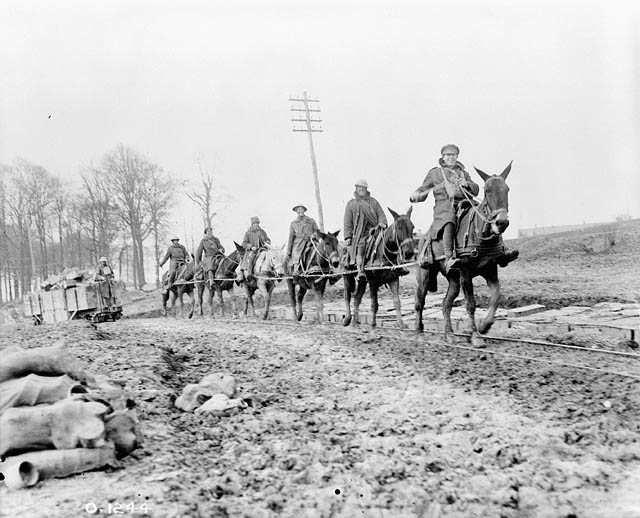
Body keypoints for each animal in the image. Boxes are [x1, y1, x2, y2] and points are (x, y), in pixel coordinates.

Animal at [416, 165, 516, 348]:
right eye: (487, 190)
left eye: (507, 189)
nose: (501, 223)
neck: (480, 235)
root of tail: (423, 236)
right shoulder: (466, 274)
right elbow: (470, 304)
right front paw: (475, 336)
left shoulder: (491, 272)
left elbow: (496, 297)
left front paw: (484, 326)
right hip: (424, 276)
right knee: (420, 303)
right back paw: (419, 333)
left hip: (453, 279)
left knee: (446, 304)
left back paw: (449, 335)